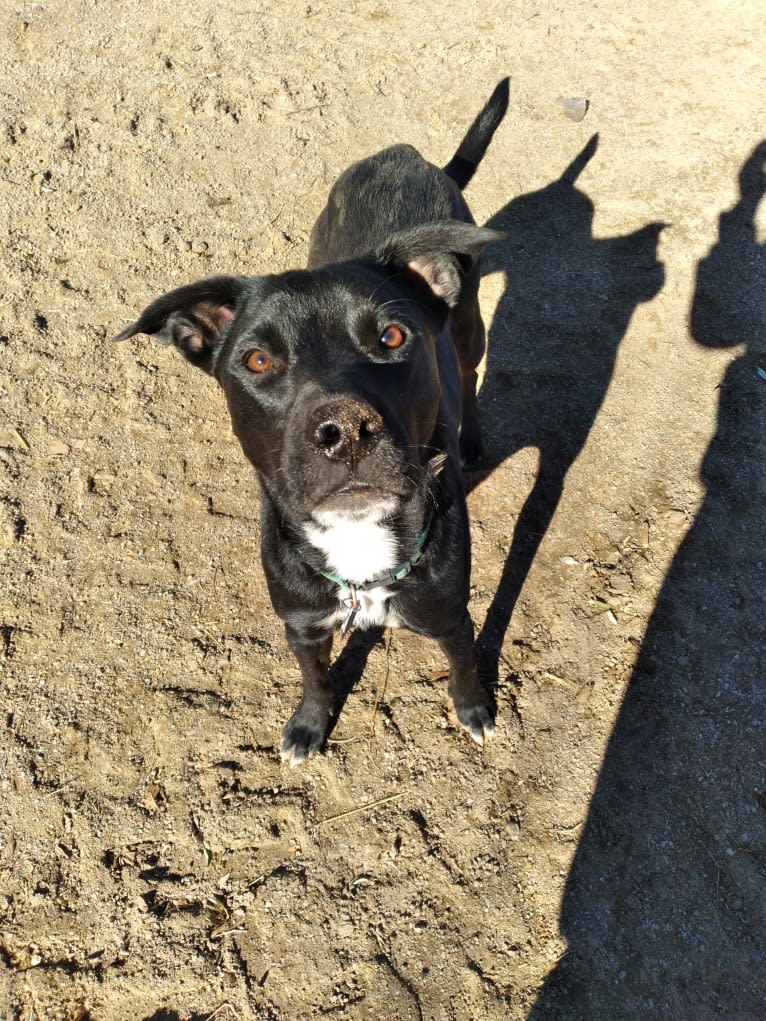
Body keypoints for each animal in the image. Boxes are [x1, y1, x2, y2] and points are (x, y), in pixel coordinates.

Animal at [118, 79, 510, 763]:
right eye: (257, 359)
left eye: (392, 335)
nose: (344, 431)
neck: (357, 549)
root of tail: (405, 155)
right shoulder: (302, 624)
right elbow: (317, 678)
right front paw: (309, 723)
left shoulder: (449, 614)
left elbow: (462, 665)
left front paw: (473, 708)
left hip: (468, 326)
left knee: (469, 371)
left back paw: (474, 437)